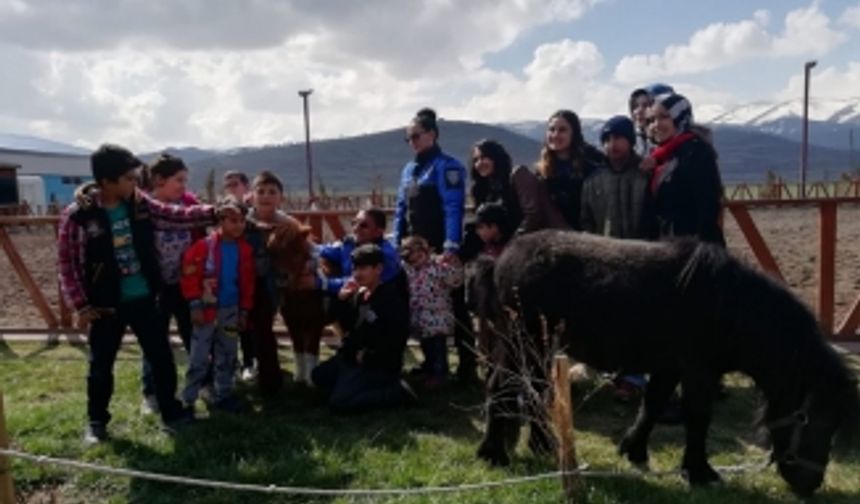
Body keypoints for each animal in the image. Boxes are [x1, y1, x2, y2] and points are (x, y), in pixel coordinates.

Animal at [470, 230, 860, 498]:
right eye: (808, 418)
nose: (811, 483)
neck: (729, 307)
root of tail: (500, 259)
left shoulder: (669, 367)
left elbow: (653, 406)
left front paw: (633, 450)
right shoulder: (699, 371)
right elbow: (697, 418)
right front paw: (700, 472)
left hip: (540, 351)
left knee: (535, 391)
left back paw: (543, 446)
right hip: (521, 344)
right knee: (501, 388)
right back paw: (493, 454)